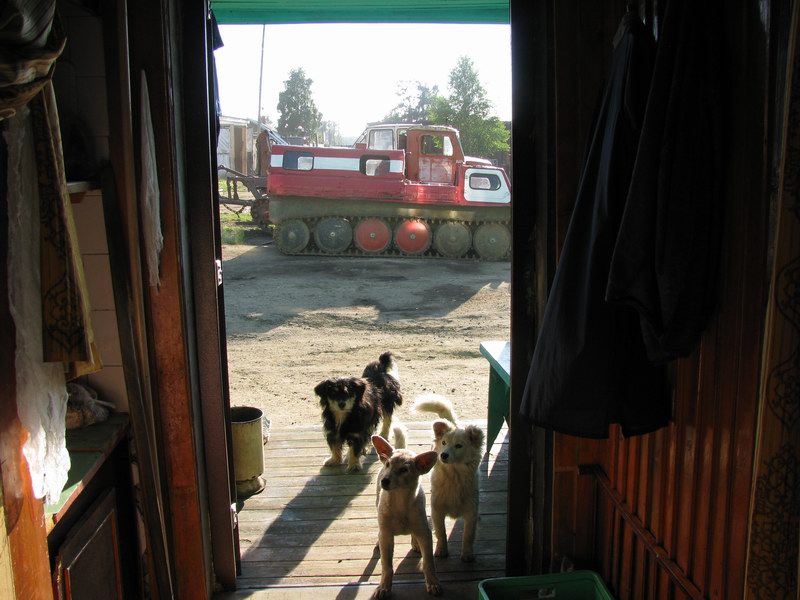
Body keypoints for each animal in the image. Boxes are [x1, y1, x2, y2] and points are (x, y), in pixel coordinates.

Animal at [372, 434, 442, 599]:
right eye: (388, 464)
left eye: (404, 469)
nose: (384, 481)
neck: (400, 503)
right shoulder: (387, 535)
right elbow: (387, 565)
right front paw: (384, 587)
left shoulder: (425, 532)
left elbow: (428, 562)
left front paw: (433, 583)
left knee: (414, 533)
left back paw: (415, 543)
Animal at [413, 393, 485, 562]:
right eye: (444, 443)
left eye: (459, 445)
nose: (443, 455)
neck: (454, 477)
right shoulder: (437, 510)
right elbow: (441, 532)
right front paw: (441, 550)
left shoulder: (471, 511)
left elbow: (468, 535)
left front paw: (467, 554)